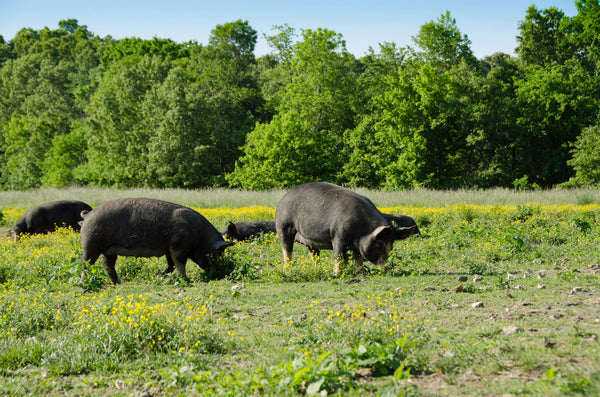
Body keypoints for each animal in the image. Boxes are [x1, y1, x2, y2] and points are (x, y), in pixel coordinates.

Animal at [77, 198, 232, 284]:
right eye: (218, 253)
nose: (220, 273)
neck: (199, 236)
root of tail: (88, 215)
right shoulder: (178, 247)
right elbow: (180, 264)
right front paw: (185, 280)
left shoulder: (169, 249)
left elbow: (171, 265)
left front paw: (160, 277)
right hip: (91, 244)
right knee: (85, 262)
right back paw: (84, 282)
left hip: (109, 250)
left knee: (108, 264)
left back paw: (118, 283)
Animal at [276, 181, 412, 274]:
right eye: (379, 244)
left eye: (391, 246)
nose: (386, 268)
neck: (362, 231)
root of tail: (284, 197)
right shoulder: (338, 235)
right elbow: (339, 256)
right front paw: (337, 274)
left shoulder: (356, 245)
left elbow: (358, 257)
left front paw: (361, 273)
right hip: (283, 225)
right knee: (287, 249)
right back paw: (287, 270)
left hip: (310, 242)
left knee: (314, 255)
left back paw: (318, 270)